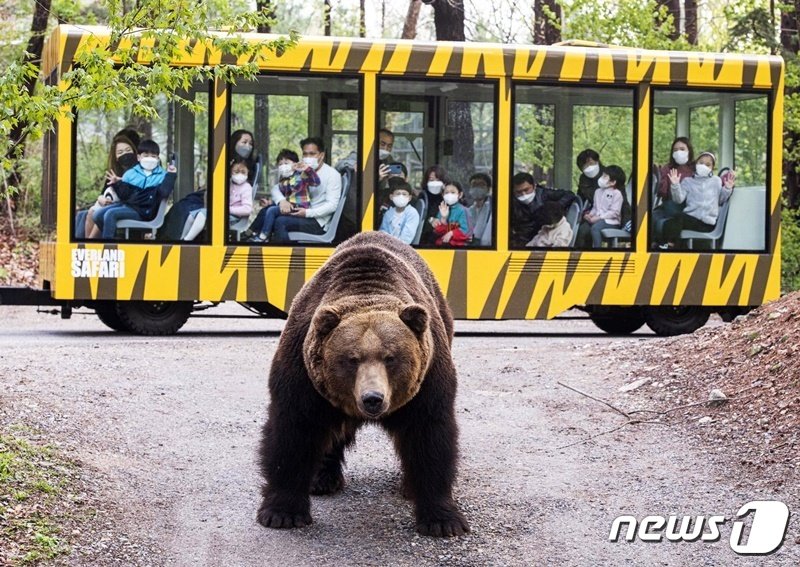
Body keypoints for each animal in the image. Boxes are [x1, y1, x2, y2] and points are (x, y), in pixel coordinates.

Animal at [256, 230, 468, 536]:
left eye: (391, 358)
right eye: (351, 359)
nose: (373, 398)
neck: (367, 292)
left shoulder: (428, 381)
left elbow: (430, 437)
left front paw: (443, 521)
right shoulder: (302, 373)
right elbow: (293, 433)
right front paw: (281, 513)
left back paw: (407, 487)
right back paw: (322, 479)